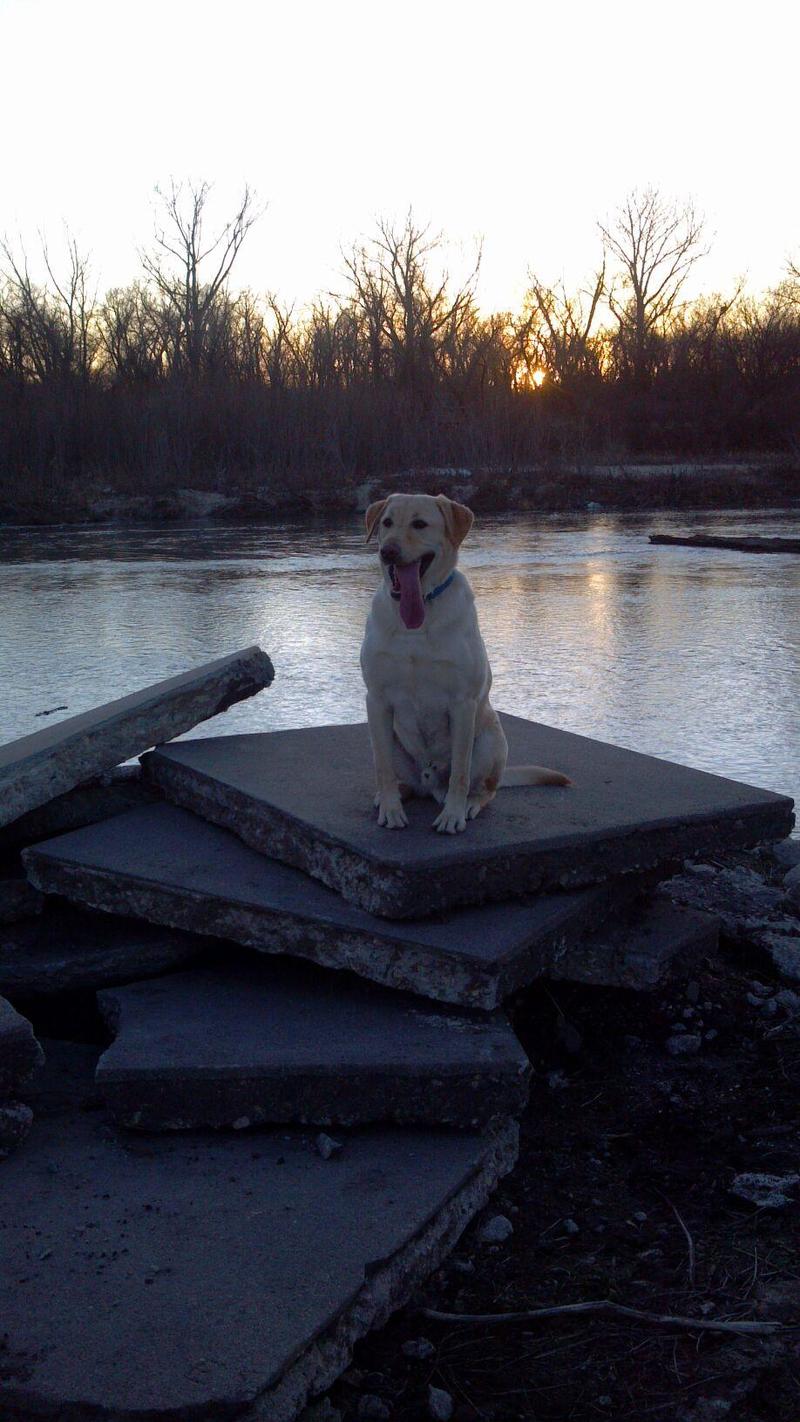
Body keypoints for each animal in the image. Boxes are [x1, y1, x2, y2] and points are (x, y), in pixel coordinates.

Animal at [359, 492, 574, 830]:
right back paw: (392, 795)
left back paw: (470, 803)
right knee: (398, 777)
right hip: (389, 738)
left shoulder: (462, 703)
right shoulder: (377, 700)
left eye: (420, 524)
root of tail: (429, 784)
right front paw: (391, 810)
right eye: (387, 523)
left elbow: (460, 771)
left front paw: (453, 815)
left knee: (485, 788)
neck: (419, 617)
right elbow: (383, 768)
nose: (388, 551)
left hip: (491, 740)